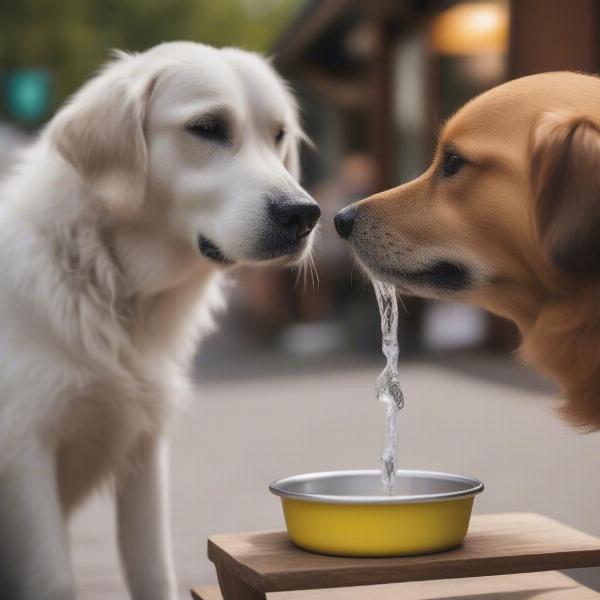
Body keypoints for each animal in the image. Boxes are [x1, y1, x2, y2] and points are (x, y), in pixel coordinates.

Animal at [0, 43, 318, 600]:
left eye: (278, 133)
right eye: (207, 127)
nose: (305, 214)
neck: (104, 279)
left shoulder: (144, 450)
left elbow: (154, 570)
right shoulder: (23, 454)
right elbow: (53, 578)